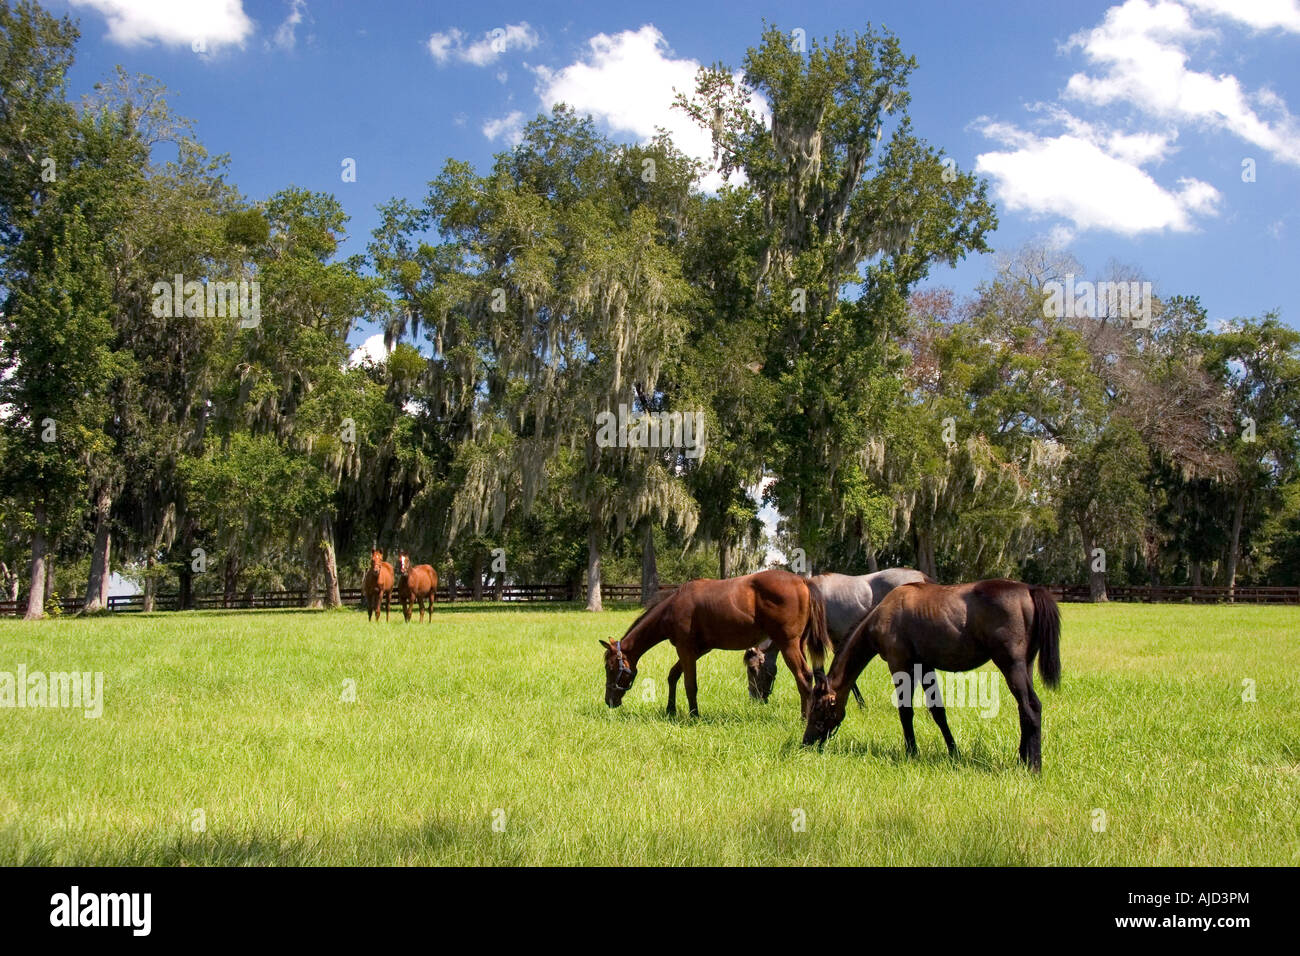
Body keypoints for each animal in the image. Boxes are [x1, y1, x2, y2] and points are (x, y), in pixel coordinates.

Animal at [600, 569, 831, 719]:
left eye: (610, 668)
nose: (609, 701)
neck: (672, 607)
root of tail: (802, 581)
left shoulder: (685, 649)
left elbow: (690, 684)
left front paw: (694, 715)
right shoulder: (696, 650)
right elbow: (673, 676)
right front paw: (670, 710)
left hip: (788, 644)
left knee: (803, 676)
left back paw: (804, 719)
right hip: (798, 644)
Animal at [803, 579, 1061, 772]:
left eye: (818, 708)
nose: (806, 742)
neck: (883, 614)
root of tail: (1030, 590)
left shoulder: (900, 664)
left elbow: (905, 711)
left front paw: (911, 752)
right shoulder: (925, 666)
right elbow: (938, 712)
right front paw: (953, 752)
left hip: (1011, 665)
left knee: (1031, 707)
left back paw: (1034, 766)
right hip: (1024, 666)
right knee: (1023, 710)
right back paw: (1022, 759)